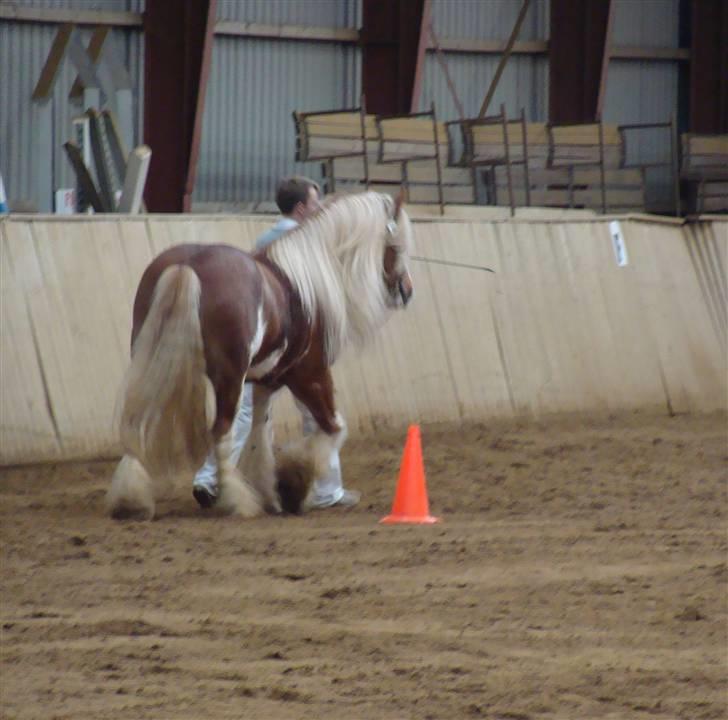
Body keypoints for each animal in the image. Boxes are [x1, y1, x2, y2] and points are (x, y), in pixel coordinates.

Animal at [107, 191, 416, 516]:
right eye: (396, 245)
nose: (406, 290)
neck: (306, 282)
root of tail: (188, 265)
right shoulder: (311, 375)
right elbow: (332, 429)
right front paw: (296, 480)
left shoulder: (265, 383)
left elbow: (259, 435)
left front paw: (271, 492)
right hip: (229, 377)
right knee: (221, 432)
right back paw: (235, 499)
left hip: (150, 361)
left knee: (138, 421)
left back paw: (132, 498)